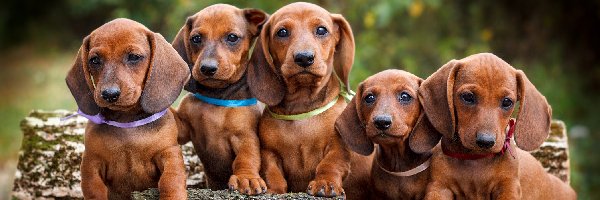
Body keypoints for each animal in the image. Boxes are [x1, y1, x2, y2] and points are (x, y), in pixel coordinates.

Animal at [64, 18, 189, 199]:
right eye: (94, 60)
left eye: (134, 57)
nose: (109, 94)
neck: (127, 123)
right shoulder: (91, 162)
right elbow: (94, 190)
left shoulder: (169, 153)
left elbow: (171, 179)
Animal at [172, 3, 268, 195]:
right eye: (196, 38)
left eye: (232, 37)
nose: (208, 68)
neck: (216, 96)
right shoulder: (184, 127)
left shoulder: (245, 135)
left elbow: (247, 156)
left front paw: (246, 178)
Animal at [247, 1, 370, 198]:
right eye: (282, 32)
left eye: (321, 30)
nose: (304, 58)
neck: (301, 110)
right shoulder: (269, 152)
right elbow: (273, 172)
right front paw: (274, 190)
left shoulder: (337, 146)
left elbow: (330, 164)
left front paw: (325, 183)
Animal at [408, 52, 576, 199]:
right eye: (468, 97)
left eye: (507, 102)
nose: (486, 141)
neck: (474, 160)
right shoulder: (439, 188)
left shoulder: (508, 187)